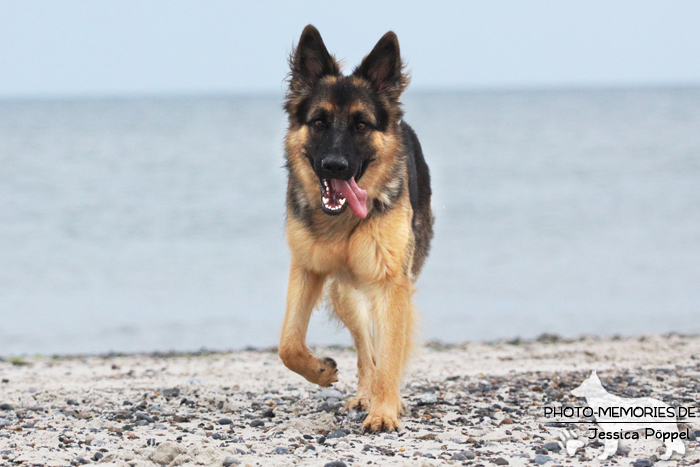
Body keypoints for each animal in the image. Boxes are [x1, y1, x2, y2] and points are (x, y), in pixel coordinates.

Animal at [278, 25, 432, 434]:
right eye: (319, 122)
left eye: (361, 125)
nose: (335, 166)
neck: (342, 220)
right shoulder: (306, 268)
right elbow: (288, 343)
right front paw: (320, 371)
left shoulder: (391, 283)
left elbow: (391, 352)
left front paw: (385, 411)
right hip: (345, 293)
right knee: (365, 349)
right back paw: (365, 393)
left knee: (383, 348)